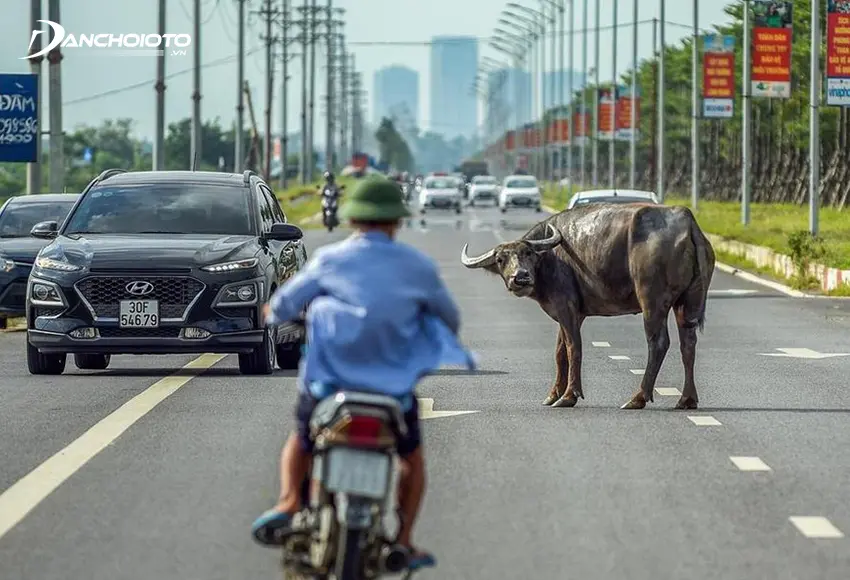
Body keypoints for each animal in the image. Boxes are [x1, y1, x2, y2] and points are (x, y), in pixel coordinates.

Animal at [460, 203, 712, 408]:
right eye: (501, 259)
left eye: (528, 253)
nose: (520, 277)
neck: (551, 257)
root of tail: (686, 220)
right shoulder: (572, 313)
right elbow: (559, 351)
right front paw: (552, 395)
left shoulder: (566, 308)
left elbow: (573, 347)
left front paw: (569, 396)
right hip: (687, 302)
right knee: (688, 344)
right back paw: (686, 399)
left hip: (652, 301)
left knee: (658, 343)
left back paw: (637, 398)